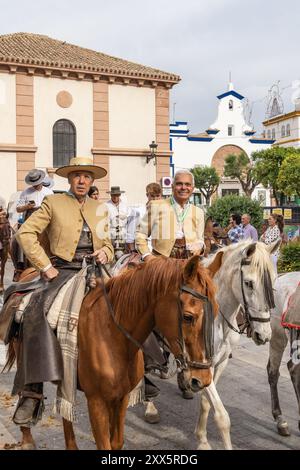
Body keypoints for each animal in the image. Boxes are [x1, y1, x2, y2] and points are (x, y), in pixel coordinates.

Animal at [7, 255, 218, 450]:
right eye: (188, 317)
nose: (202, 379)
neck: (113, 338)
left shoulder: (121, 397)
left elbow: (115, 441)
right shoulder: (96, 401)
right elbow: (104, 443)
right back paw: (26, 433)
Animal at [196, 241, 280, 450]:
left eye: (274, 281)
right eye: (249, 283)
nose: (264, 335)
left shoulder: (220, 363)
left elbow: (206, 403)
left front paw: (202, 439)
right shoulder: (203, 364)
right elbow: (222, 417)